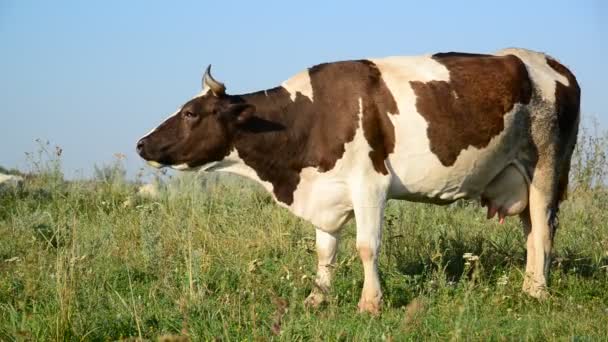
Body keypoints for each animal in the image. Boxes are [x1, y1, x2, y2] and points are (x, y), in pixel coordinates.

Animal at [137, 48, 580, 316]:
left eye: (191, 112)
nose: (142, 144)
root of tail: (546, 61)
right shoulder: (325, 192)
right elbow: (325, 251)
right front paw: (316, 297)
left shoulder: (370, 183)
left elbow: (367, 247)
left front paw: (370, 303)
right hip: (519, 174)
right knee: (532, 232)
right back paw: (529, 285)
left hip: (547, 167)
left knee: (543, 230)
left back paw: (536, 291)